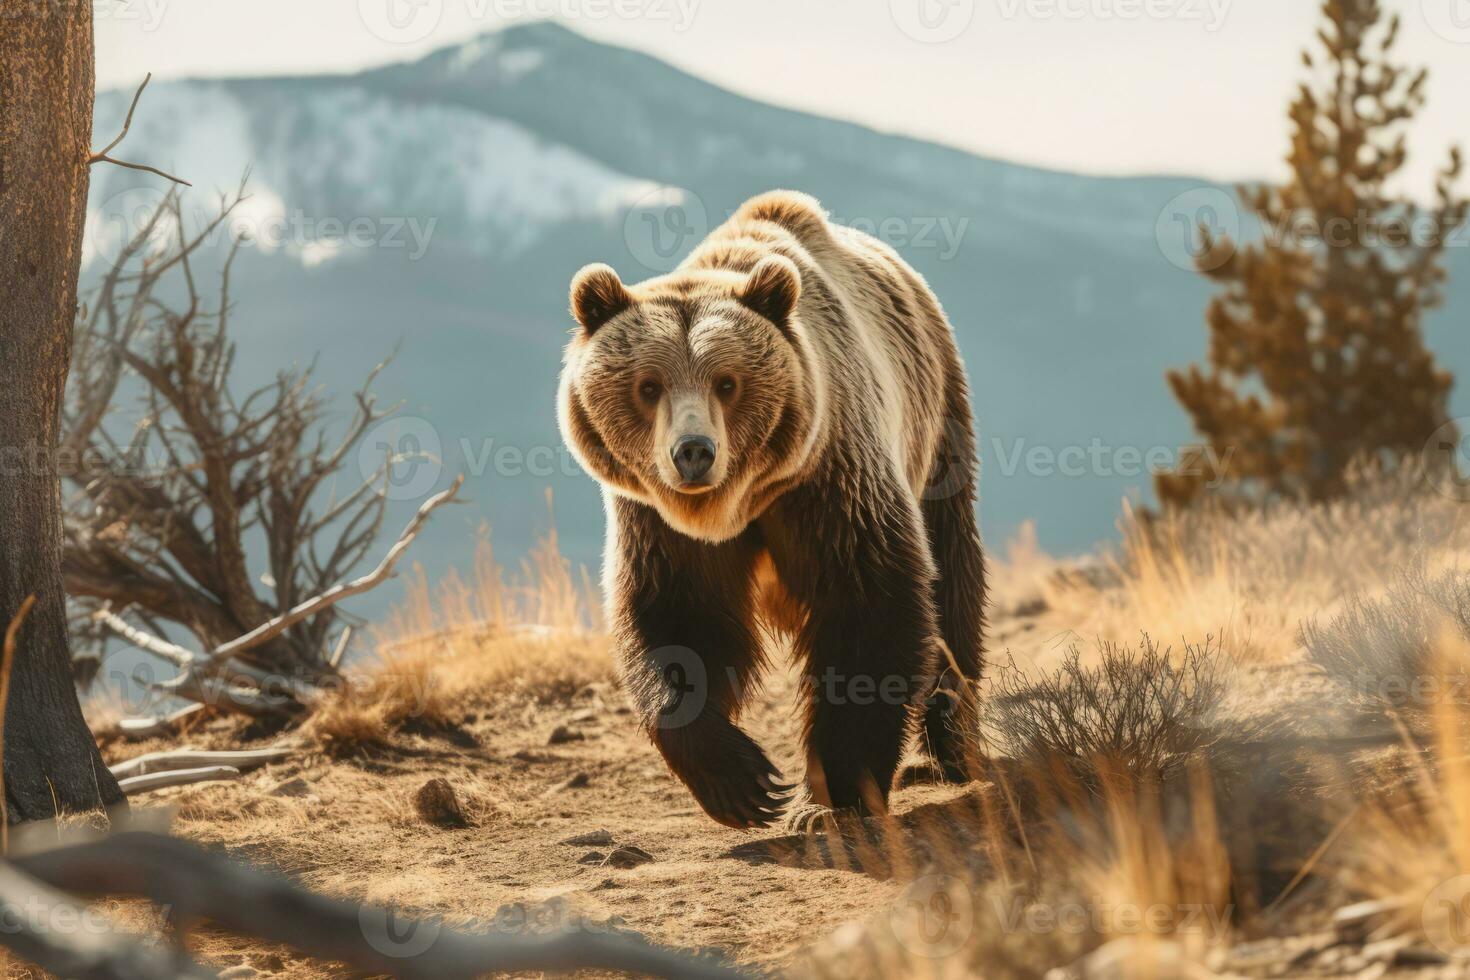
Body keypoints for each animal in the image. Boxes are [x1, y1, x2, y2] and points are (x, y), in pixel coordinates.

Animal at [558, 191, 987, 828]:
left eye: (727, 382)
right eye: (649, 385)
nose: (693, 452)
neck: (736, 506)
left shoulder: (829, 482)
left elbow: (868, 607)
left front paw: (834, 792)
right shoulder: (659, 525)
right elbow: (677, 621)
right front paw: (743, 782)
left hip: (935, 424)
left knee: (953, 571)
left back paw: (951, 744)